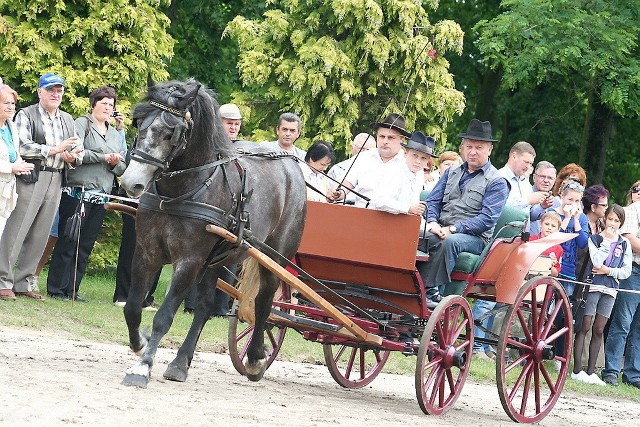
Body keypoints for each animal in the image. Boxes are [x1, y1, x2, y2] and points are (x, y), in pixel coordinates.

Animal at [121, 79, 308, 388]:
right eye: (140, 123)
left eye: (171, 132)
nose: (130, 182)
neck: (180, 191)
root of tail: (290, 162)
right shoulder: (147, 252)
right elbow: (133, 308)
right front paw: (141, 344)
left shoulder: (189, 261)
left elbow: (164, 316)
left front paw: (142, 367)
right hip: (217, 260)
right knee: (206, 306)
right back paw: (180, 363)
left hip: (274, 257)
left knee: (265, 301)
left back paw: (255, 358)